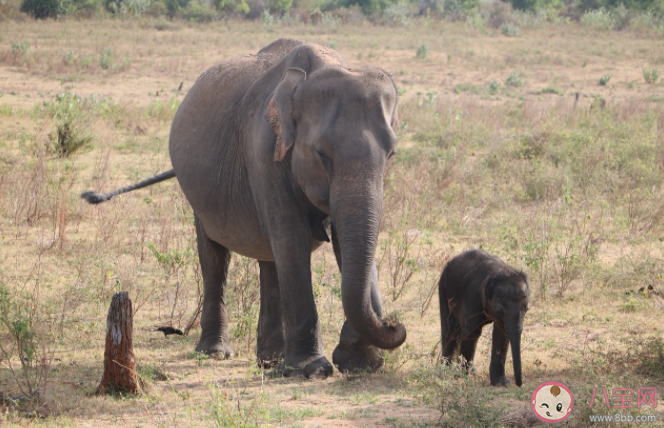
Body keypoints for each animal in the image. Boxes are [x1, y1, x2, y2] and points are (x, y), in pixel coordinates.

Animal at [83, 37, 404, 378]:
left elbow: (340, 240)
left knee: (268, 255)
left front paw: (360, 363)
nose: (393, 323)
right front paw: (312, 369)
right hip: (198, 193)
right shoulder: (263, 151)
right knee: (215, 255)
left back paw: (270, 360)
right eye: (321, 154)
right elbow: (292, 238)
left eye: (392, 154)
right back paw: (216, 352)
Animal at [440, 249, 528, 386]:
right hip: (444, 289)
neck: (497, 271)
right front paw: (463, 377)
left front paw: (501, 383)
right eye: (499, 311)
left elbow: (501, 334)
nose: (519, 384)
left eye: (527, 309)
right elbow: (471, 331)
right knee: (450, 329)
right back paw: (446, 370)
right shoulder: (472, 295)